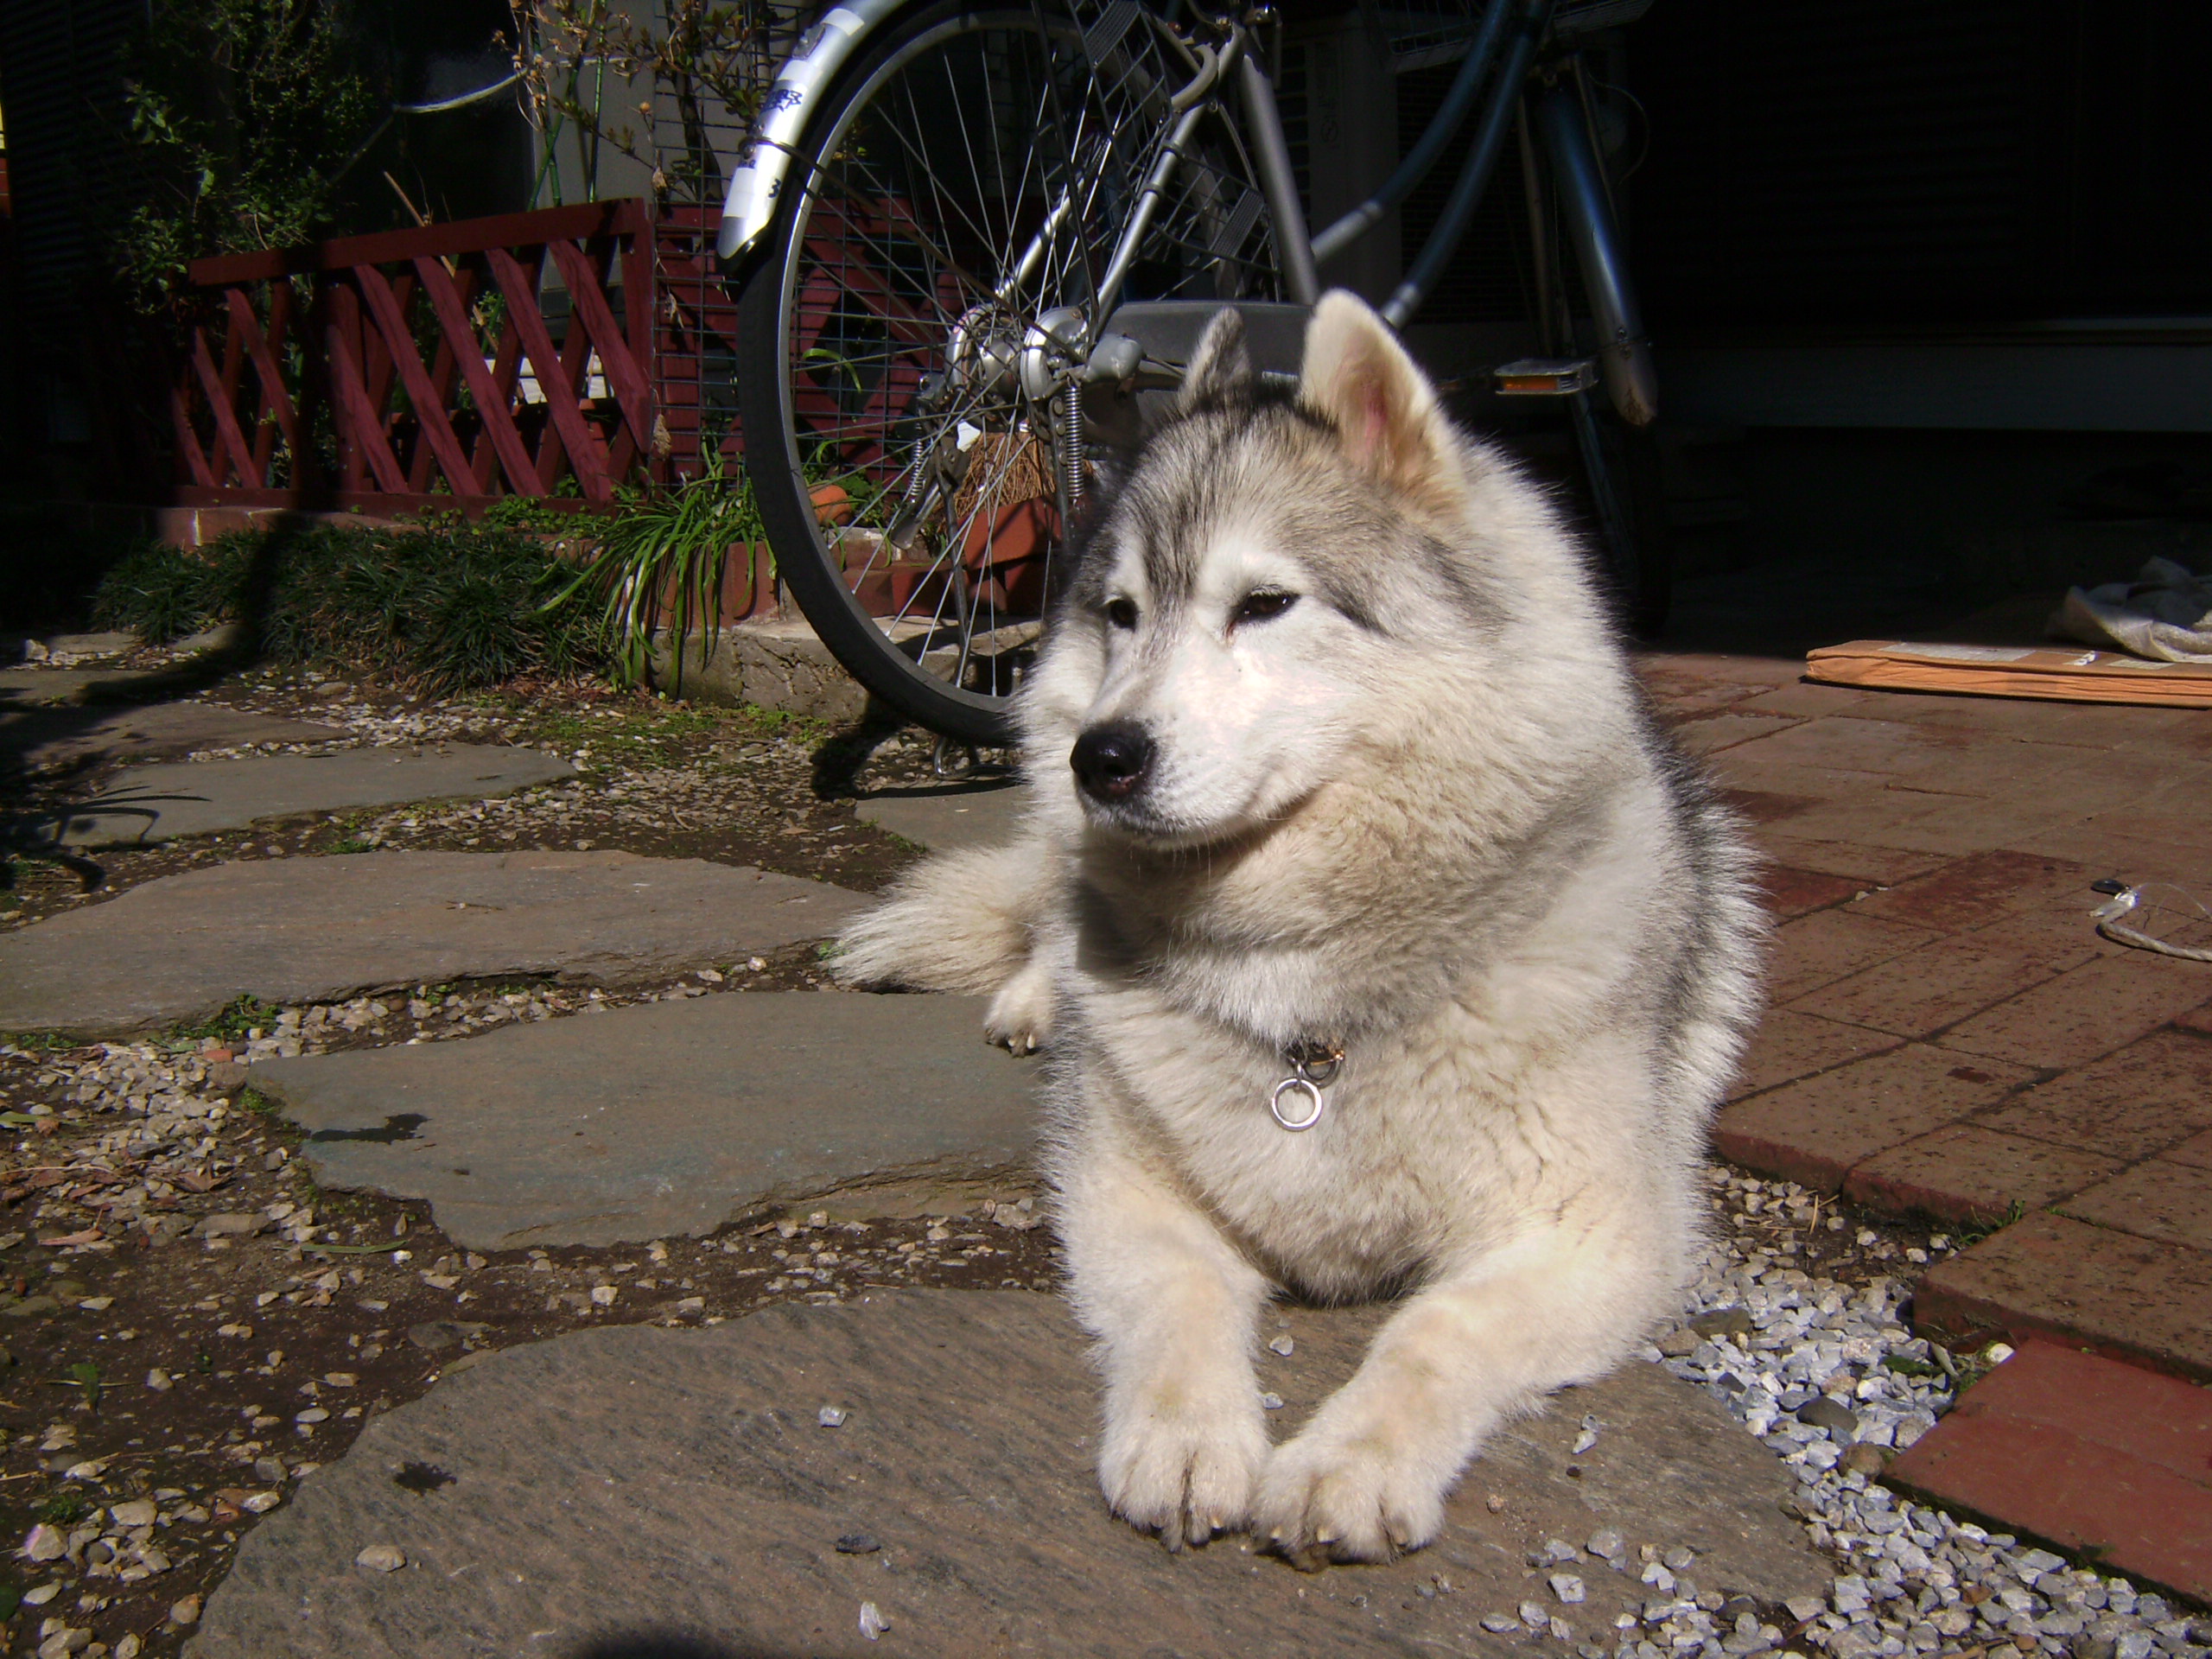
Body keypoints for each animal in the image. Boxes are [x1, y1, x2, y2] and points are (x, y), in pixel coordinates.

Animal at [836, 291, 1770, 1566]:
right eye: (1121, 616)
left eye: (1265, 606)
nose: (1101, 758)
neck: (1308, 998)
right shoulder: (1124, 1191)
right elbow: (1182, 1299)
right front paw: (1188, 1440)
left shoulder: (1592, 1235)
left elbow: (1435, 1330)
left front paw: (1348, 1461)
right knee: (1048, 914)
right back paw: (1035, 999)